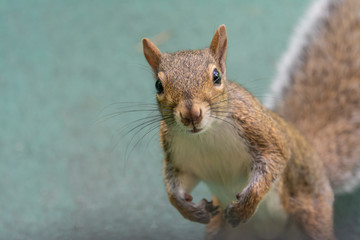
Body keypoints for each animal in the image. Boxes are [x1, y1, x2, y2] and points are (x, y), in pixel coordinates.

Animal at [141, 0, 360, 240]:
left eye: (216, 76)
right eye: (158, 85)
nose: (191, 115)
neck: (206, 137)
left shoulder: (258, 131)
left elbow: (273, 161)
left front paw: (246, 206)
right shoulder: (178, 158)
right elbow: (176, 185)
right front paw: (188, 208)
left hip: (310, 212)